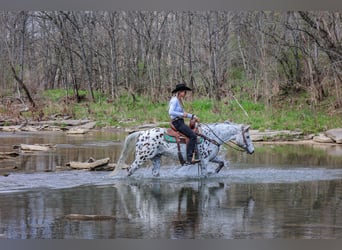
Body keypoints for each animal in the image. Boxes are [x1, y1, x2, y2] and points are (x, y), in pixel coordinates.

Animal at [111, 121, 255, 178]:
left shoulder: (212, 158)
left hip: (156, 158)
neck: (211, 136)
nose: (252, 151)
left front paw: (214, 172)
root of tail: (141, 133)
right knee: (130, 170)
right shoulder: (204, 160)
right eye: (247, 136)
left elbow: (221, 163)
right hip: (141, 158)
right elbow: (204, 174)